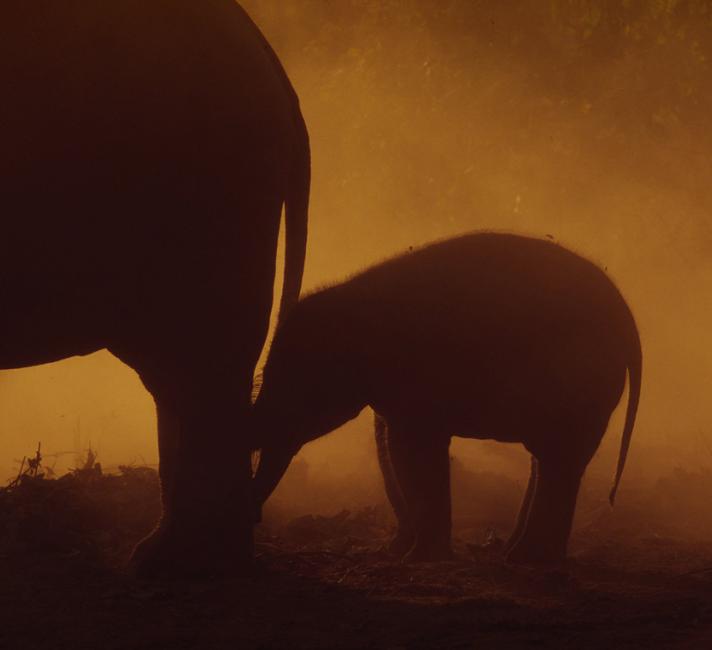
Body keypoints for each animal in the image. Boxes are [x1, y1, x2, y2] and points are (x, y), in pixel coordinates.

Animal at [253, 232, 644, 560]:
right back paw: (520, 556)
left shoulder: (416, 381)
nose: (256, 520)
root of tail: (627, 319)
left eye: (297, 383)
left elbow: (411, 451)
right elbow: (390, 446)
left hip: (583, 382)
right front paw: (397, 552)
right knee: (550, 458)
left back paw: (526, 560)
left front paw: (418, 557)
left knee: (559, 459)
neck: (353, 295)